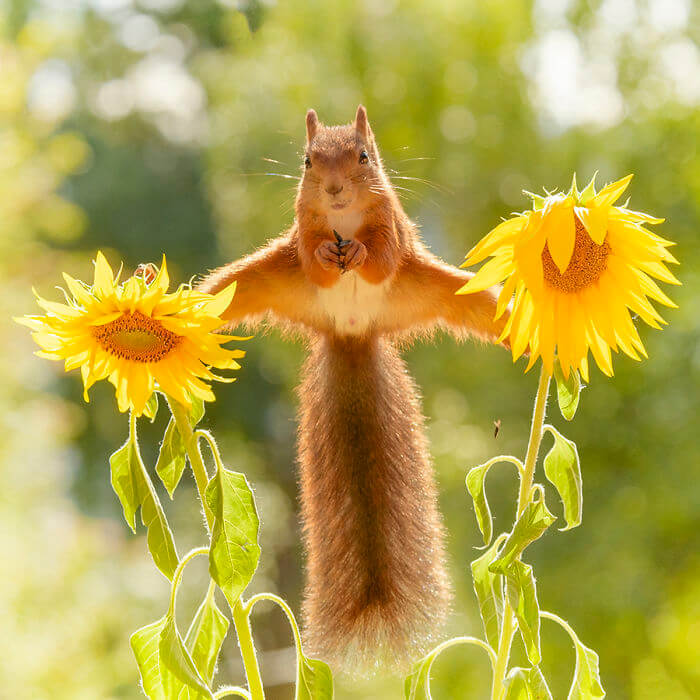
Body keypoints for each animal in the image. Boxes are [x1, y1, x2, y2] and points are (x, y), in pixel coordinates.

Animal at [197, 105, 508, 672]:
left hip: (435, 287)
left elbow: (381, 255)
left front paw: (359, 250)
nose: (335, 189)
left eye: (365, 156)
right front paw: (328, 252)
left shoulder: (392, 226)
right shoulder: (303, 228)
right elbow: (313, 256)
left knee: (482, 308)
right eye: (307, 161)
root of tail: (353, 332)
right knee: (220, 293)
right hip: (254, 280)